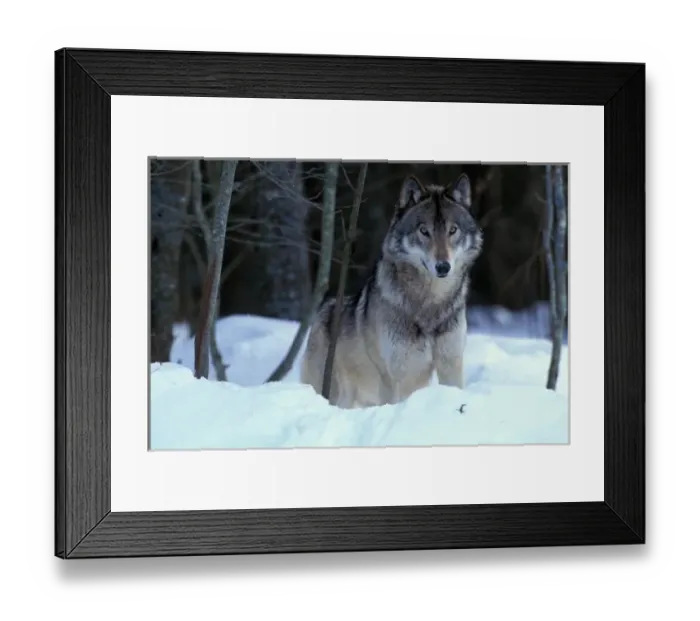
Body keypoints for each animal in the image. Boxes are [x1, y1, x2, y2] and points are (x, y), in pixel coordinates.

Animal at [300, 172, 484, 409]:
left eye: (453, 230)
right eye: (424, 231)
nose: (443, 267)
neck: (431, 304)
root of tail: (323, 310)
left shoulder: (450, 363)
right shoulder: (406, 373)